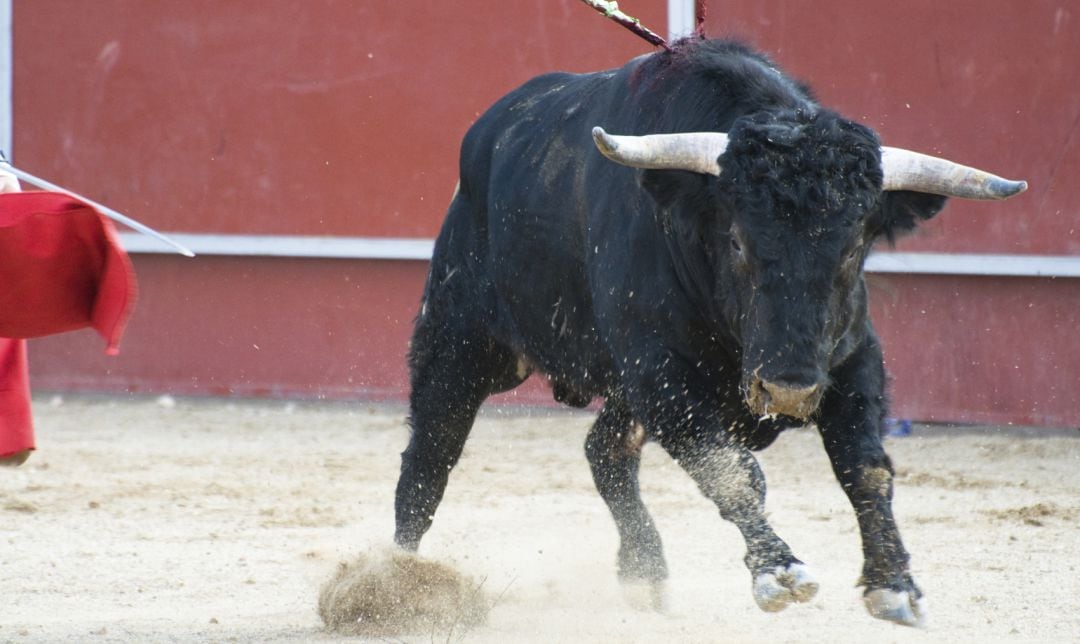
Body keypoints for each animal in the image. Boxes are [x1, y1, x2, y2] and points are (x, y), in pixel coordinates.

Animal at [393, 37, 1023, 626]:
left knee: (605, 449)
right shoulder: (662, 376)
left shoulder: (852, 360)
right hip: (461, 341)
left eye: (854, 248)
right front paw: (778, 572)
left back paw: (645, 574)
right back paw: (396, 587)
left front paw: (895, 585)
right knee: (428, 461)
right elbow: (732, 472)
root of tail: (487, 136)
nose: (788, 390)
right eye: (738, 240)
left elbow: (866, 469)